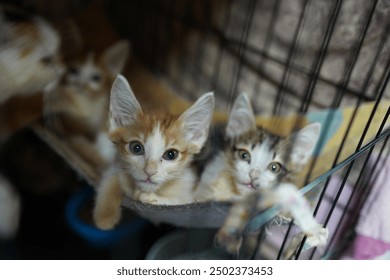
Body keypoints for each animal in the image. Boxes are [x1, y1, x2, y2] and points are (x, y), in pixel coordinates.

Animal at [93, 75, 215, 230]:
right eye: (136, 148)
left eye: (171, 154)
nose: (149, 172)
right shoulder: (117, 164)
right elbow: (110, 178)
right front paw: (105, 215)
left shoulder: (190, 190)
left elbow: (182, 202)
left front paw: (151, 198)